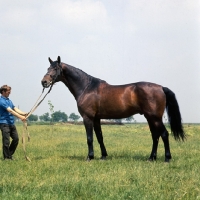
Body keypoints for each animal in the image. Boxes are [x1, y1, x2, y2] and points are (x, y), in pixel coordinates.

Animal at [41, 55, 185, 162]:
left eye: (55, 69)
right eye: (48, 67)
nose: (44, 82)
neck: (87, 88)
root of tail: (161, 87)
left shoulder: (88, 118)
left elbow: (89, 138)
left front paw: (90, 157)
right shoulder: (96, 119)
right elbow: (99, 137)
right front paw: (103, 156)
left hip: (155, 118)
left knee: (164, 134)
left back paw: (167, 158)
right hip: (150, 118)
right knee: (155, 136)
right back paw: (151, 158)